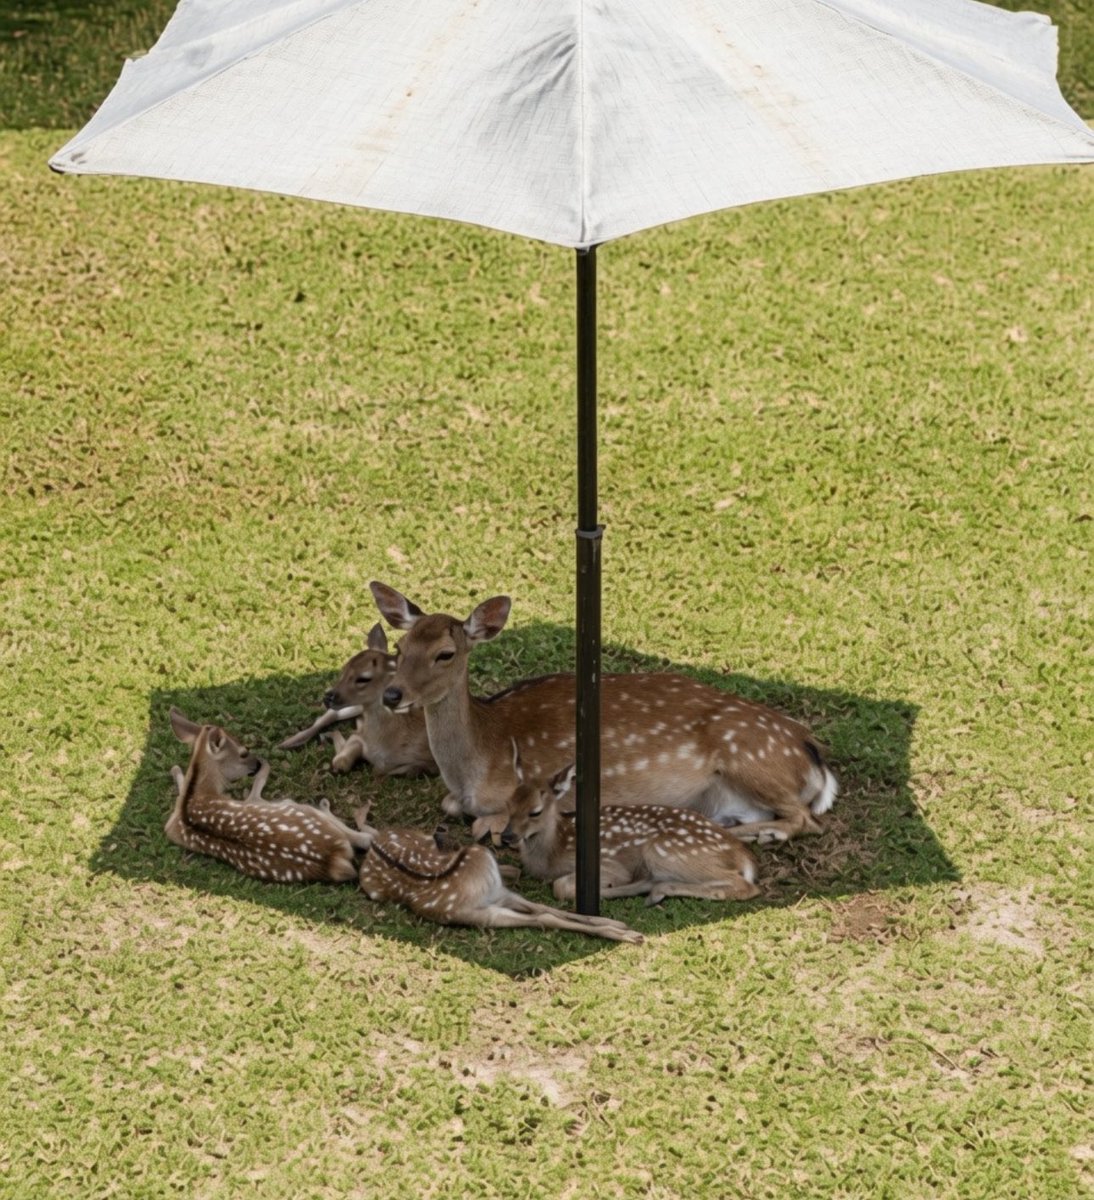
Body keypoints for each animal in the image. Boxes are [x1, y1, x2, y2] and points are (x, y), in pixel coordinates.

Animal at [167, 708, 375, 883]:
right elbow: (254, 792)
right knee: (364, 839)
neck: (197, 794)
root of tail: (332, 859)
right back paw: (326, 805)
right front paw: (266, 767)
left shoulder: (171, 827)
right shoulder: (251, 801)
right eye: (243, 752)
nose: (257, 763)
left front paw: (175, 769)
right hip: (300, 809)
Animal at [278, 624, 435, 779]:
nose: (328, 697)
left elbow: (404, 771)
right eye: (344, 669)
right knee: (331, 715)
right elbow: (341, 761)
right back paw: (288, 743)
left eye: (363, 678)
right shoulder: (359, 738)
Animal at [356, 816, 643, 943]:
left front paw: (616, 924)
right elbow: (545, 917)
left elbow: (544, 908)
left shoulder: (501, 893)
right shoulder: (483, 915)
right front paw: (627, 934)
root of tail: (373, 845)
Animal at [369, 581, 838, 844]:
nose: (392, 694)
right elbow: (450, 805)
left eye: (445, 654)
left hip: (748, 755)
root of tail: (814, 756)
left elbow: (484, 823)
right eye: (401, 647)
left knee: (807, 819)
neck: (477, 762)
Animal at [500, 748, 761, 906]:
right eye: (508, 804)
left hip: (664, 850)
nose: (506, 836)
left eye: (535, 811)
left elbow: (561, 886)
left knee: (744, 886)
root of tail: (741, 854)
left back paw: (656, 890)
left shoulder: (609, 865)